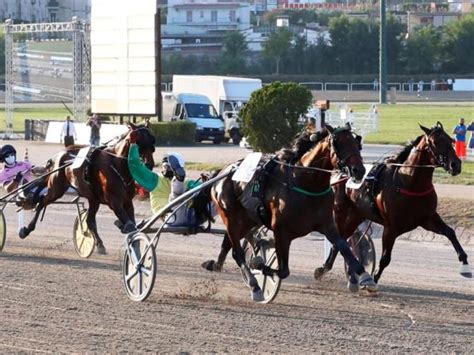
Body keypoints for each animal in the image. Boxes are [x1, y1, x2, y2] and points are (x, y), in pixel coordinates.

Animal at [18, 124, 156, 254]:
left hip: (93, 199)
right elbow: (131, 226)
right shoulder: (115, 203)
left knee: (89, 221)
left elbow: (132, 225)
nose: (149, 164)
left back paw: (100, 244)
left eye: (152, 142)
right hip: (56, 189)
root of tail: (60, 154)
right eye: (138, 140)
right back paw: (26, 229)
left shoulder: (127, 202)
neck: (117, 165)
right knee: (42, 202)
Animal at [207, 125, 378, 304]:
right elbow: (283, 270)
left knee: (234, 246)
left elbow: (343, 247)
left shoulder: (327, 224)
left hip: (248, 219)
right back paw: (255, 286)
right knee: (238, 253)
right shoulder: (281, 231)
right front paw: (258, 265)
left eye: (357, 143)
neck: (305, 184)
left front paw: (366, 277)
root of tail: (224, 172)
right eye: (338, 143)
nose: (359, 170)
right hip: (230, 218)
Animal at [314, 122, 470, 284]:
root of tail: (336, 173)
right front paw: (373, 279)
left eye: (451, 140)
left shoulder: (427, 218)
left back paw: (325, 269)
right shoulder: (391, 228)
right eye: (435, 142)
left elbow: (450, 232)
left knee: (341, 241)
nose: (455, 164)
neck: (408, 182)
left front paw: (464, 263)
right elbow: (385, 259)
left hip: (356, 216)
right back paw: (325, 269)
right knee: (337, 240)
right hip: (341, 213)